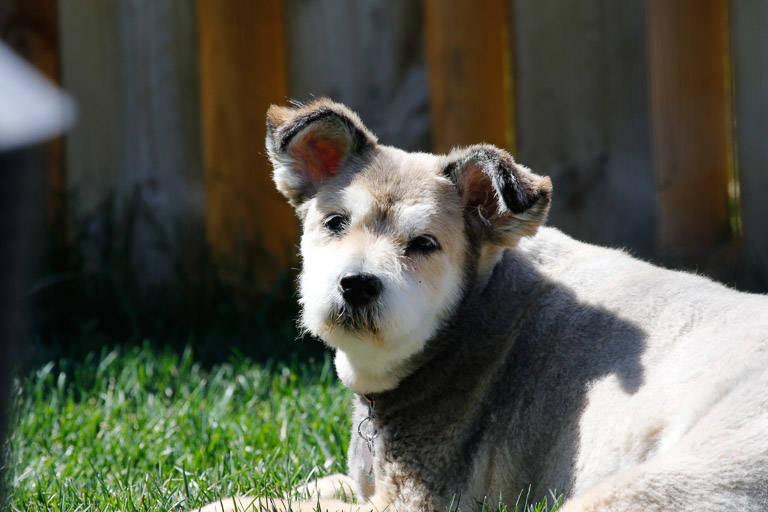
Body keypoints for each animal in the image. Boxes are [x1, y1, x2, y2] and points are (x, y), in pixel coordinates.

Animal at [196, 99, 768, 511]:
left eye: (425, 244)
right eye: (335, 222)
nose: (355, 285)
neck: (471, 318)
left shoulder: (413, 503)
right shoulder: (361, 484)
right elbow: (286, 492)